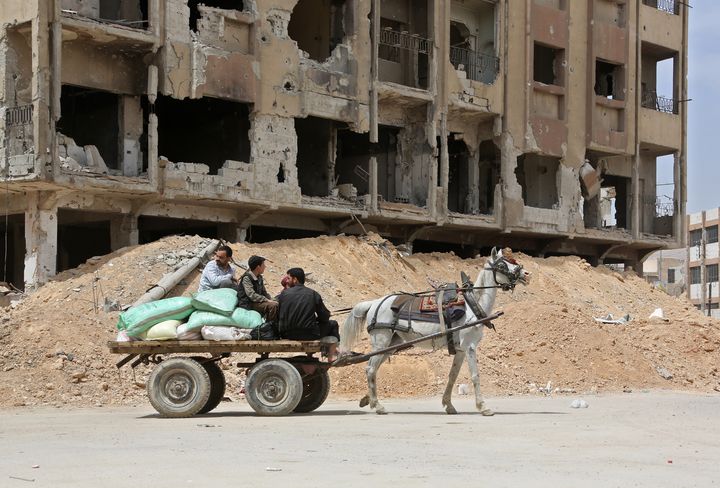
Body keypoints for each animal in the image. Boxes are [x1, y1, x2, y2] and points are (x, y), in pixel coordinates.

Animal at [338, 248, 528, 416]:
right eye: (502, 265)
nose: (526, 274)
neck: (472, 306)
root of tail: (374, 302)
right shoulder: (470, 346)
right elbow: (475, 375)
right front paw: (483, 407)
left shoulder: (460, 350)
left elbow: (452, 376)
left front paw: (448, 405)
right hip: (381, 341)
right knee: (370, 369)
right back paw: (378, 406)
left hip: (392, 344)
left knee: (374, 368)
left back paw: (368, 399)